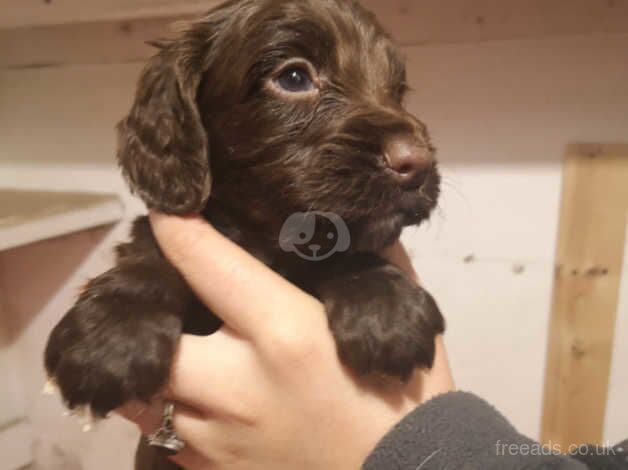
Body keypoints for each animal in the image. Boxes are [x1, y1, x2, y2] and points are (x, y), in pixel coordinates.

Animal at [45, 0, 442, 466]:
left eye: (397, 89)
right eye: (294, 77)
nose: (416, 163)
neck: (264, 242)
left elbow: (341, 242)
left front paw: (386, 308)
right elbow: (147, 257)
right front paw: (111, 337)